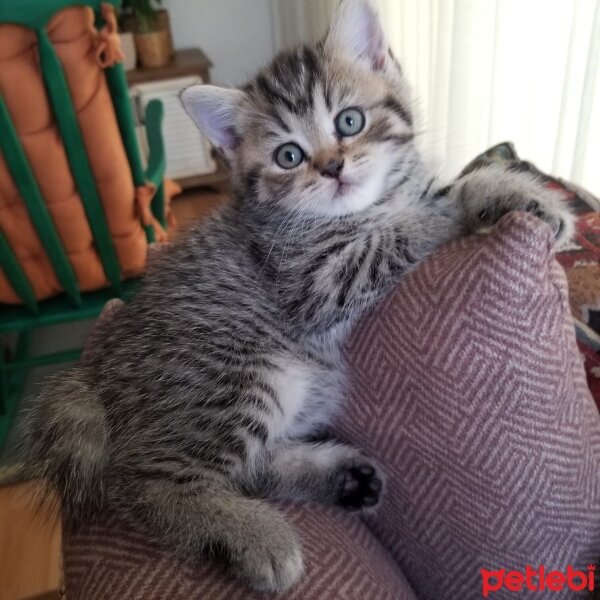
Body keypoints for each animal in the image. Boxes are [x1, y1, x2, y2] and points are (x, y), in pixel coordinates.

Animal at [25, 0, 576, 592]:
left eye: (350, 121)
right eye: (288, 155)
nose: (332, 167)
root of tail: (92, 377)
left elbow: (437, 194)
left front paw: (522, 197)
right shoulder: (318, 279)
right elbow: (408, 225)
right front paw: (464, 202)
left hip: (303, 384)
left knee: (249, 465)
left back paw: (343, 479)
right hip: (237, 375)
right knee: (145, 482)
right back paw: (259, 538)